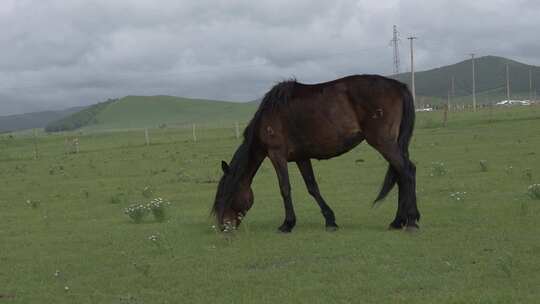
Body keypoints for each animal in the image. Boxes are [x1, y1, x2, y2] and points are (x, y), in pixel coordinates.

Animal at [210, 75, 418, 232]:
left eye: (226, 195)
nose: (224, 227)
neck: (269, 116)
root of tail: (398, 86)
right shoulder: (302, 158)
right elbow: (312, 187)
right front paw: (330, 220)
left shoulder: (277, 155)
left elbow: (285, 188)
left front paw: (287, 224)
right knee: (403, 173)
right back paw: (399, 221)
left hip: (383, 142)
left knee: (406, 172)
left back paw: (411, 221)